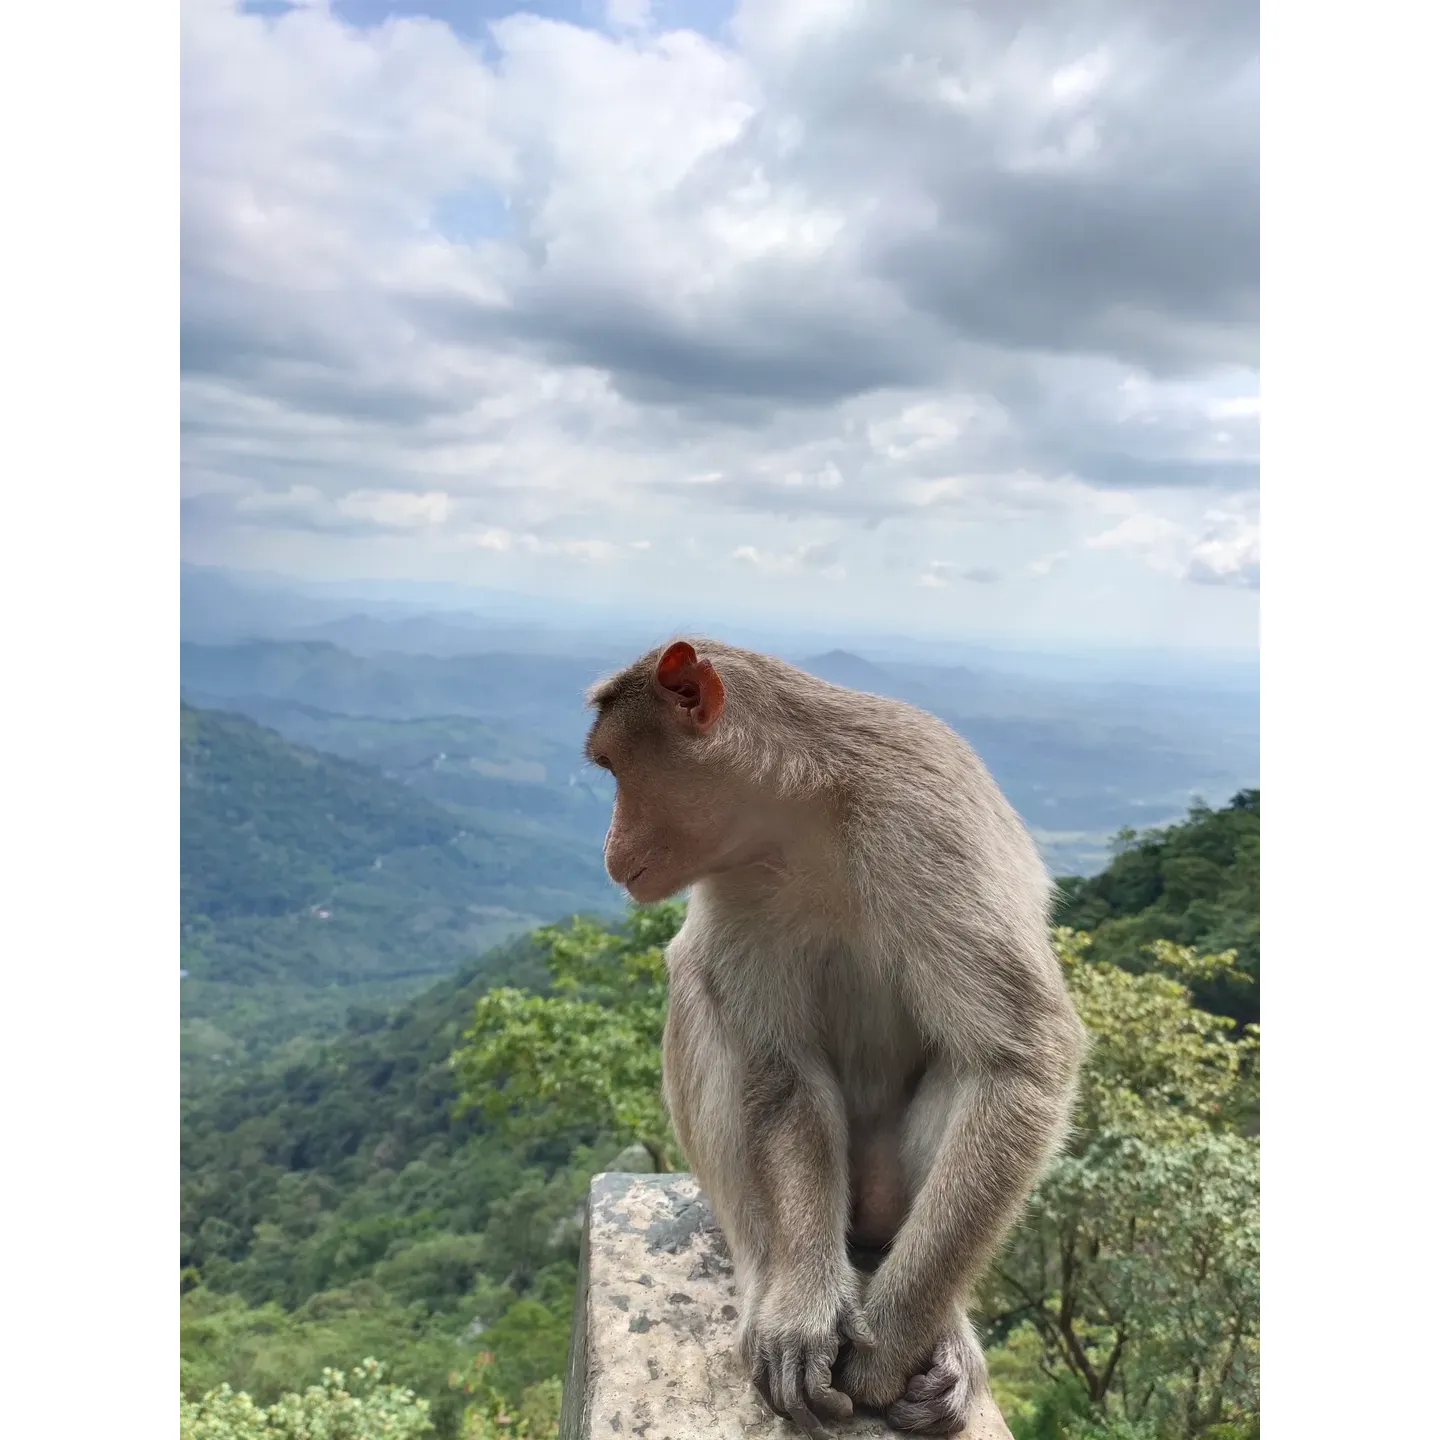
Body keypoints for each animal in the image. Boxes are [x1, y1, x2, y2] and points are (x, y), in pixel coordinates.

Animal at [578, 642, 1082, 1440]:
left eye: (615, 767)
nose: (607, 848)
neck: (808, 810)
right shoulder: (738, 883)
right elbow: (783, 1074)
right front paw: (803, 1312)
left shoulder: (927, 822)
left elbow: (1019, 1061)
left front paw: (888, 1351)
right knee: (696, 984)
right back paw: (769, 1281)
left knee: (972, 1067)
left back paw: (944, 1330)